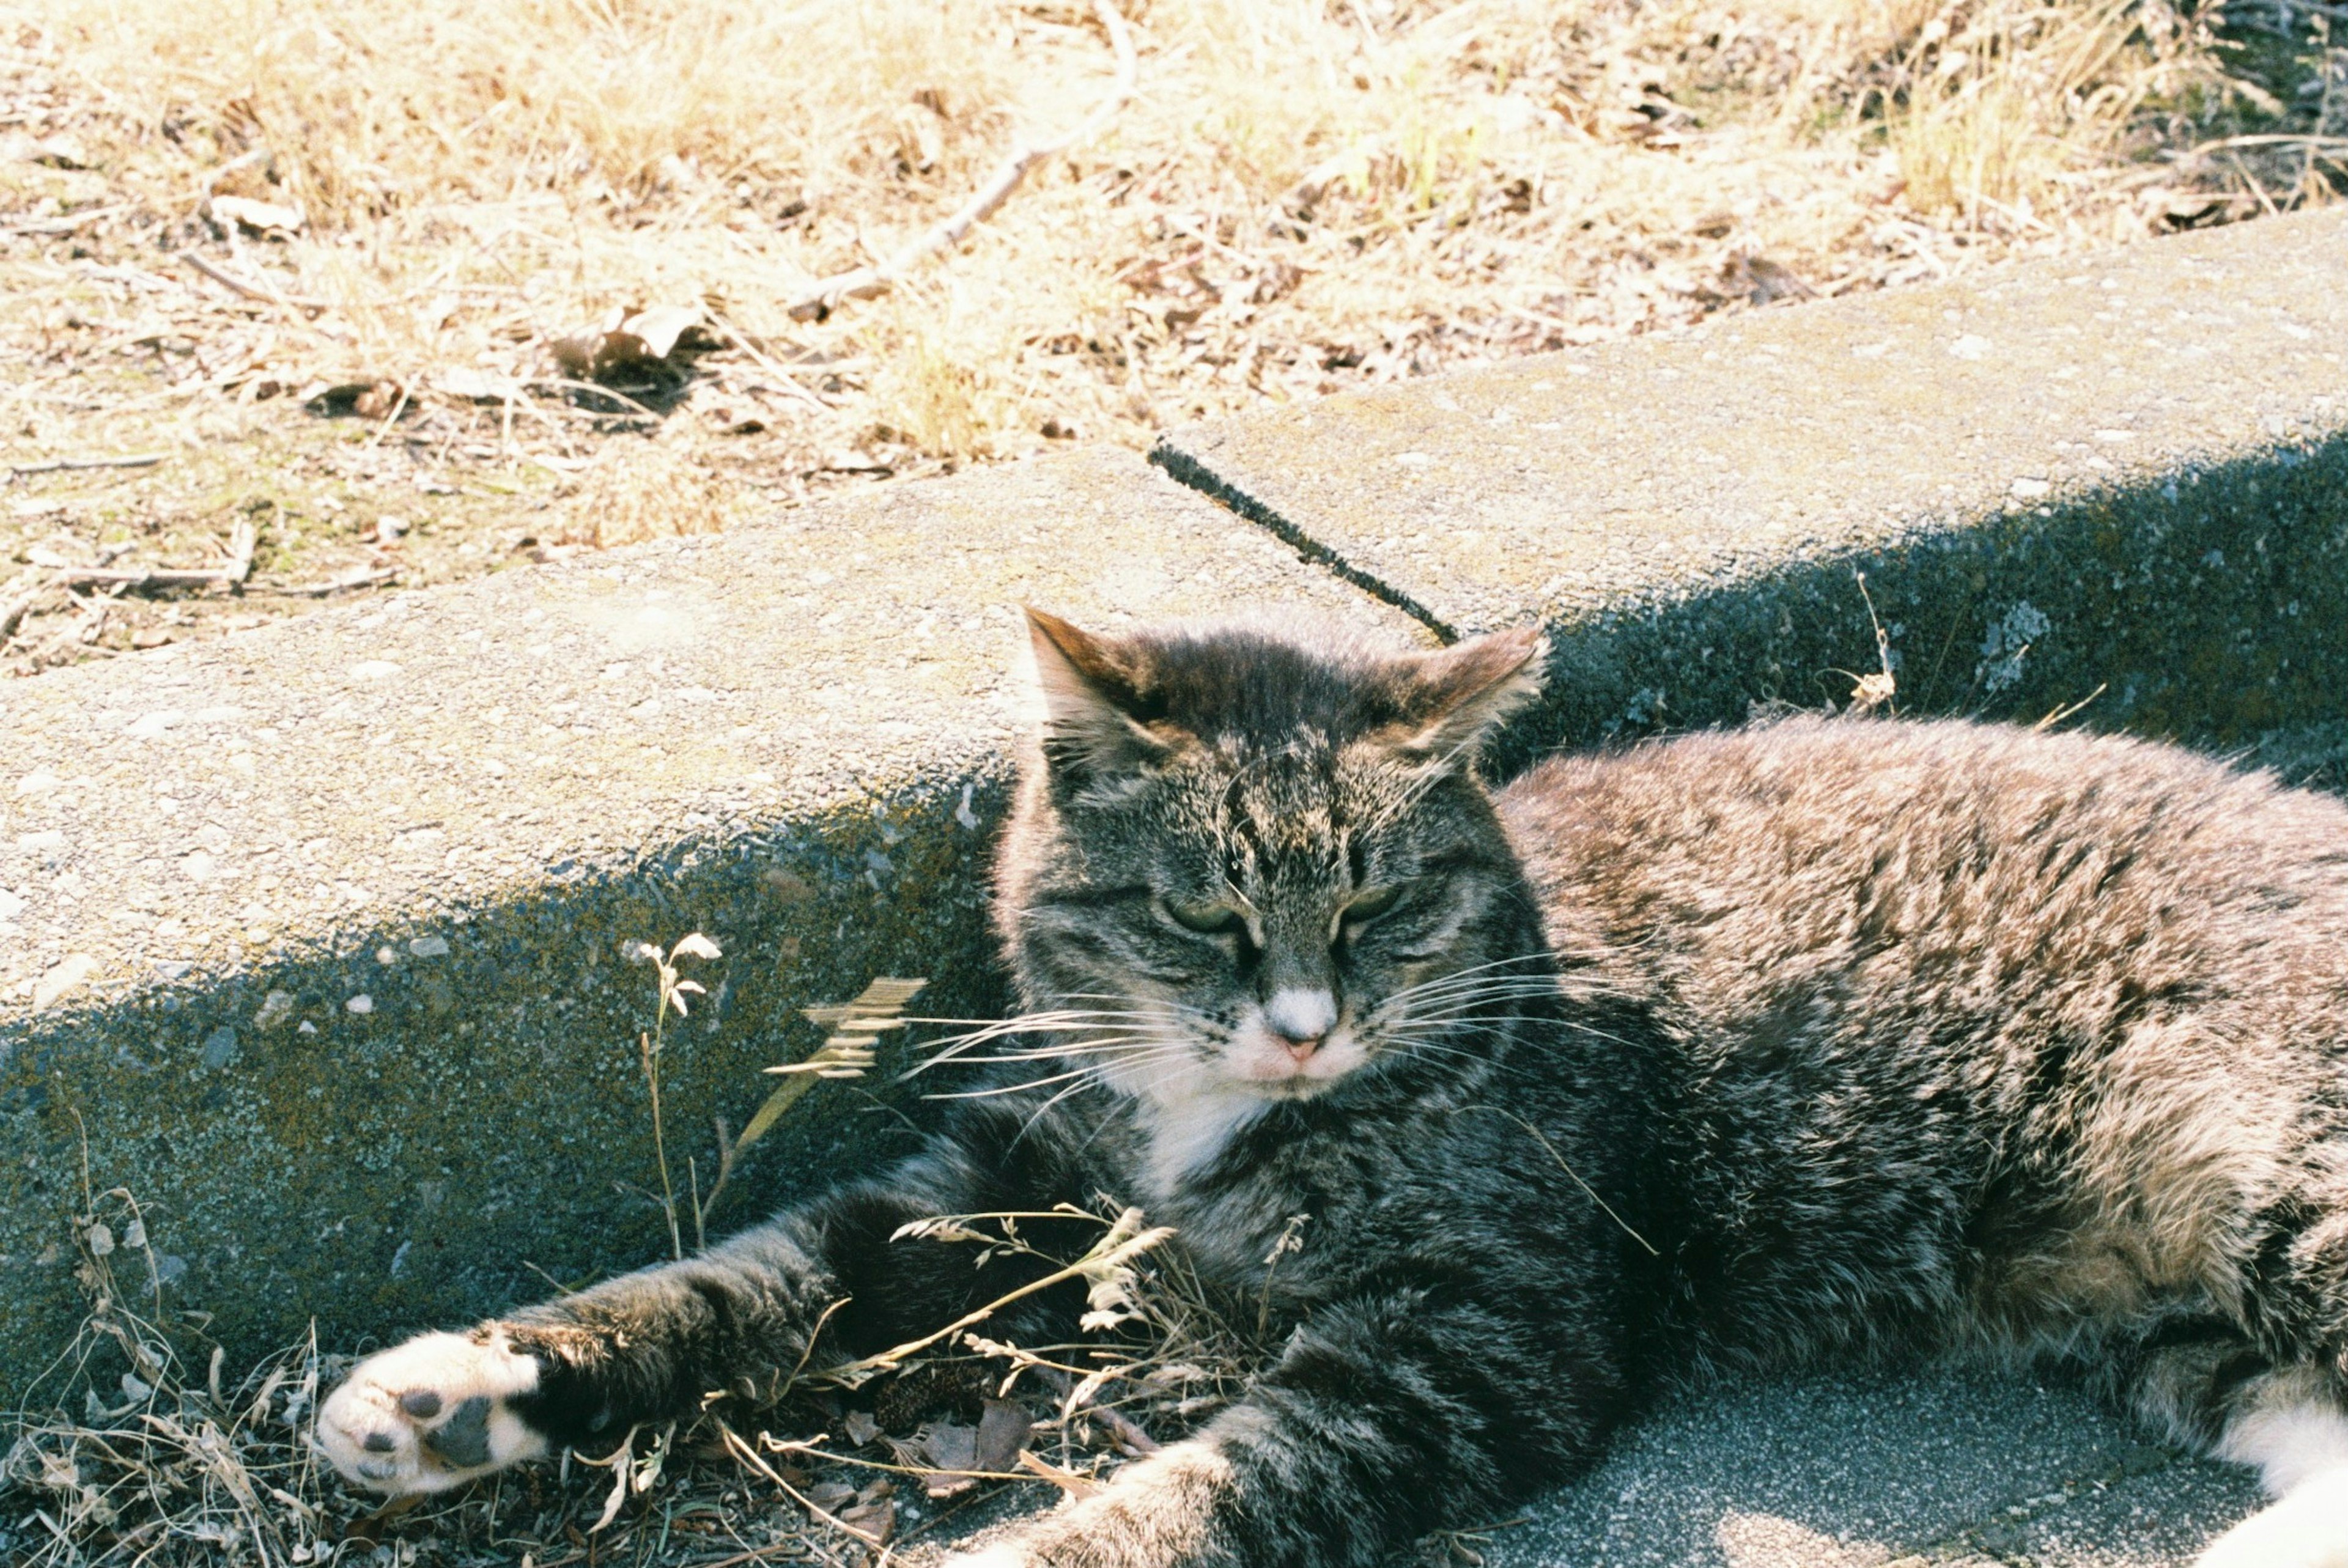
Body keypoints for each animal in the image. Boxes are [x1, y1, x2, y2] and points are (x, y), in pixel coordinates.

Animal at [326, 615, 2348, 1568]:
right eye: (1199, 912)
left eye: (1372, 904)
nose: (1299, 1022)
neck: (1201, 1121)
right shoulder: (1001, 1177)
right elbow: (745, 1279)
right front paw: (456, 1392)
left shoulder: (1472, 1337)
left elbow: (1191, 1496)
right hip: (2171, 1317)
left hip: (2280, 1181)